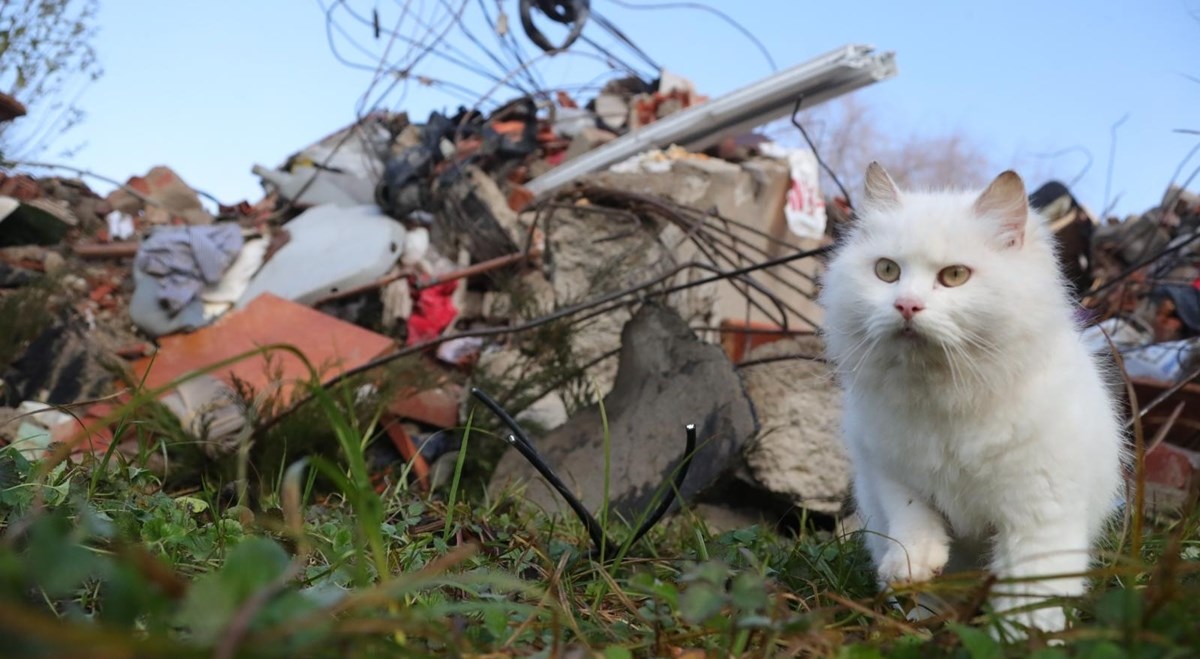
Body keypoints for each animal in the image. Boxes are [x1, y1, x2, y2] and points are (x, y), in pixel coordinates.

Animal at [820, 162, 1128, 633]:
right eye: (887, 271)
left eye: (954, 276)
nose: (906, 306)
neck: (946, 395)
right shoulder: (890, 473)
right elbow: (913, 518)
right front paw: (912, 566)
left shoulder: (1037, 515)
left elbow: (1031, 598)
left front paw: (1026, 638)